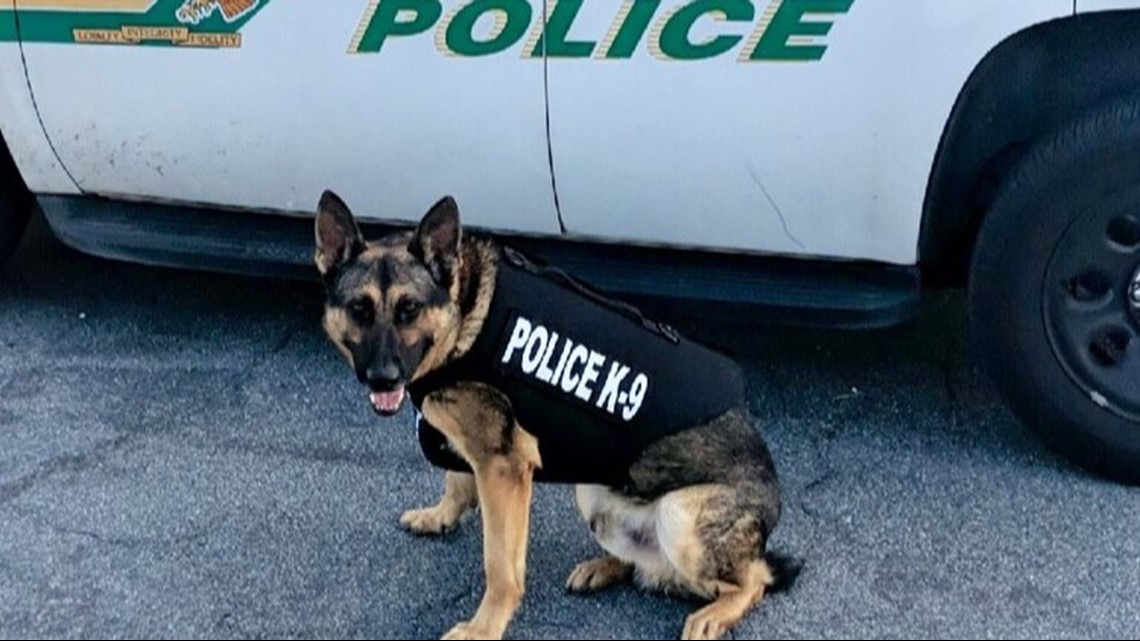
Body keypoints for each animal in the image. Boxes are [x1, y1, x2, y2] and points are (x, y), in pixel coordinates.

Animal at [314, 189, 793, 638]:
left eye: (409, 309)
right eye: (359, 309)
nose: (382, 378)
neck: (466, 309)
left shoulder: (503, 469)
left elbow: (499, 566)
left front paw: (484, 628)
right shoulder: (478, 450)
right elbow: (456, 483)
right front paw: (439, 516)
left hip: (679, 517)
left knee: (752, 581)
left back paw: (714, 612)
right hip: (594, 493)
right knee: (654, 569)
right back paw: (604, 567)